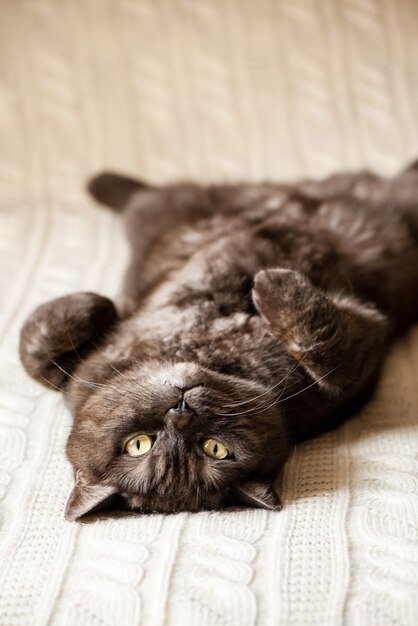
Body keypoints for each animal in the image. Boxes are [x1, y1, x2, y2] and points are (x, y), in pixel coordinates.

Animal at [20, 158, 418, 520]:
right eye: (139, 445)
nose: (180, 411)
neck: (202, 351)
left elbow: (34, 354)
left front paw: (99, 306)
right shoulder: (357, 356)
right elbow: (332, 354)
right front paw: (272, 283)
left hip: (171, 207)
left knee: (142, 195)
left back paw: (99, 182)